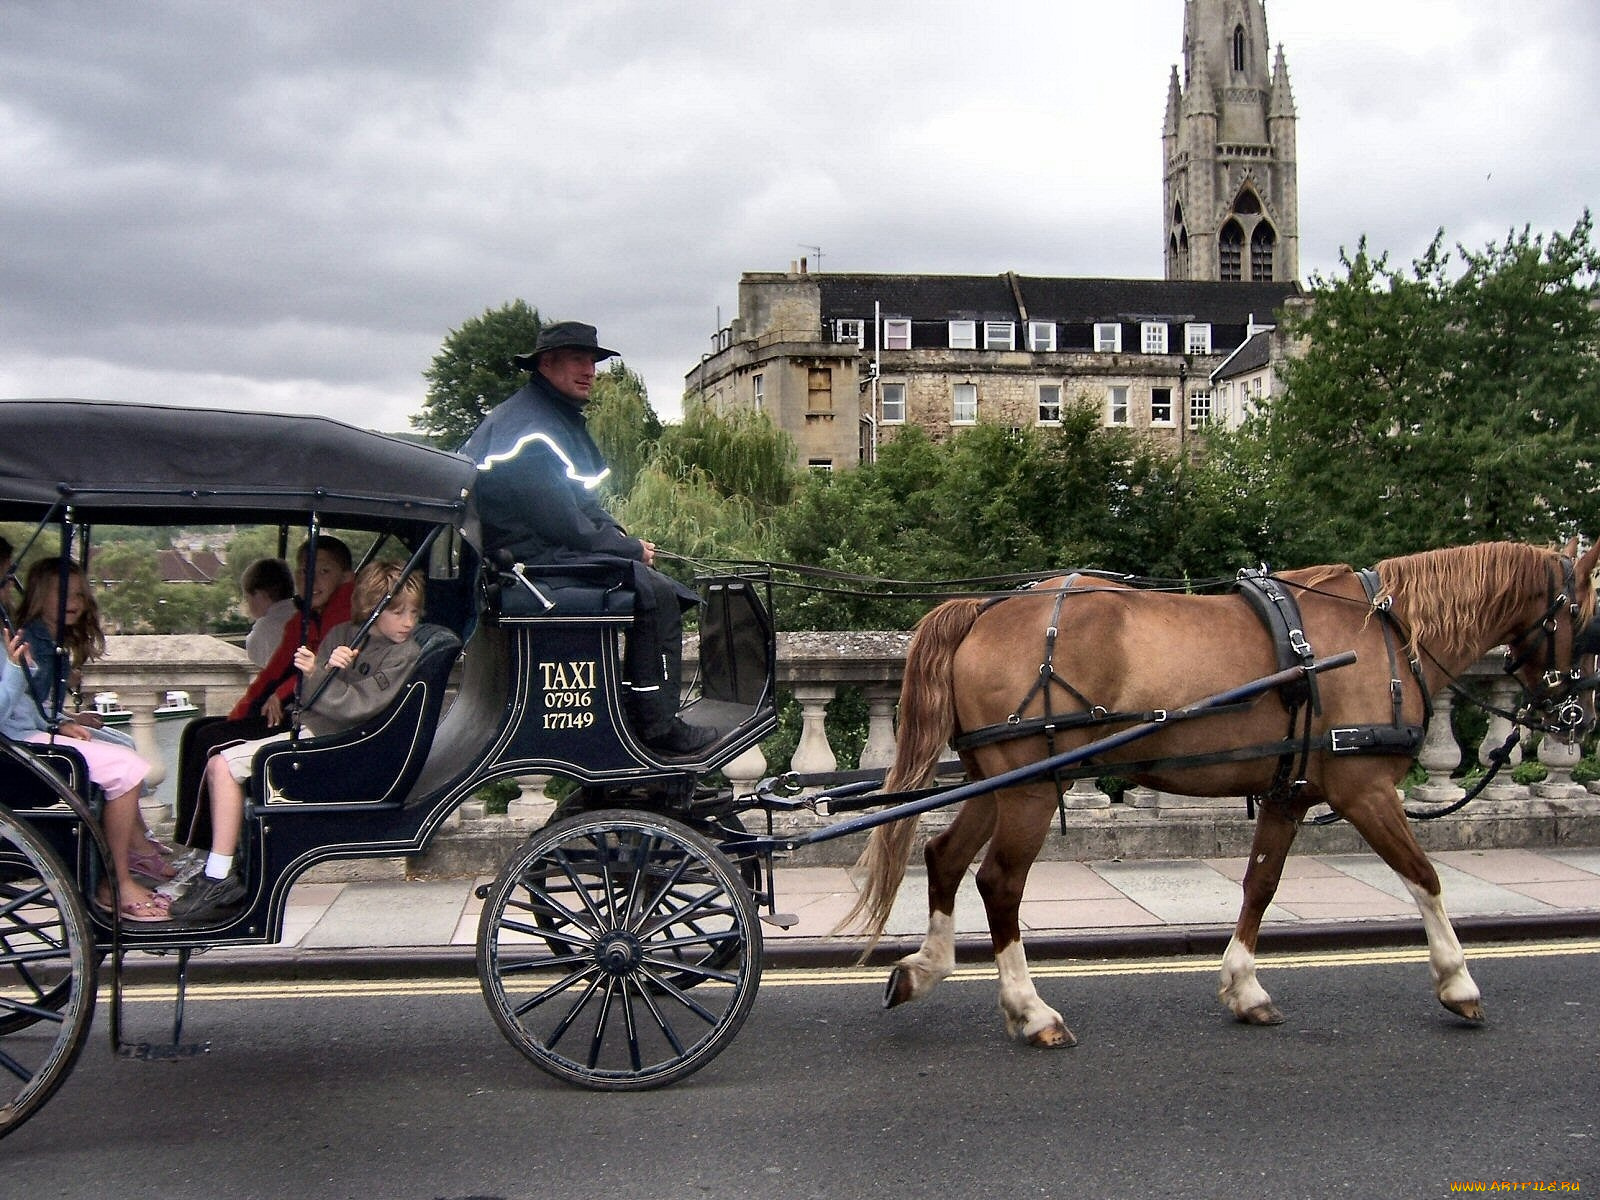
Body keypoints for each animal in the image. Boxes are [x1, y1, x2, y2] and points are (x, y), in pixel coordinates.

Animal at [844, 540, 1593, 1049]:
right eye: (1587, 619)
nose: (1576, 715)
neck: (1389, 634)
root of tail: (984, 609)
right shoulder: (1364, 787)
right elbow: (1425, 877)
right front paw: (1458, 980)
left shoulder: (1290, 791)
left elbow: (1260, 885)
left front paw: (1244, 987)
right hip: (1027, 784)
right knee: (998, 882)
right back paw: (1031, 1011)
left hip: (995, 778)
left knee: (944, 858)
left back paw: (925, 969)